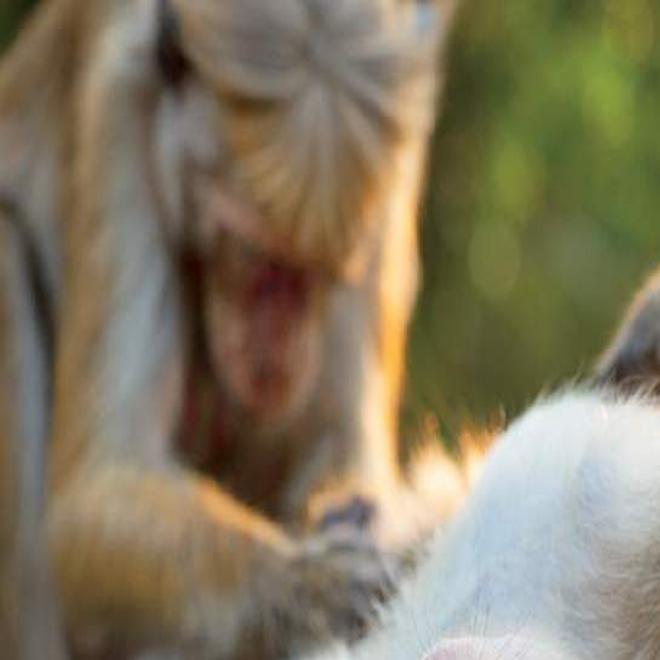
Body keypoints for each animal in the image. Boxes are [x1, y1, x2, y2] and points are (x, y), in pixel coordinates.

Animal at [0, 0, 458, 656]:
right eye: (254, 258)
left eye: (323, 271)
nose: (278, 359)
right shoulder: (116, 106)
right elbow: (93, 491)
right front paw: (304, 588)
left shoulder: (395, 151)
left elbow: (343, 443)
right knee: (6, 248)